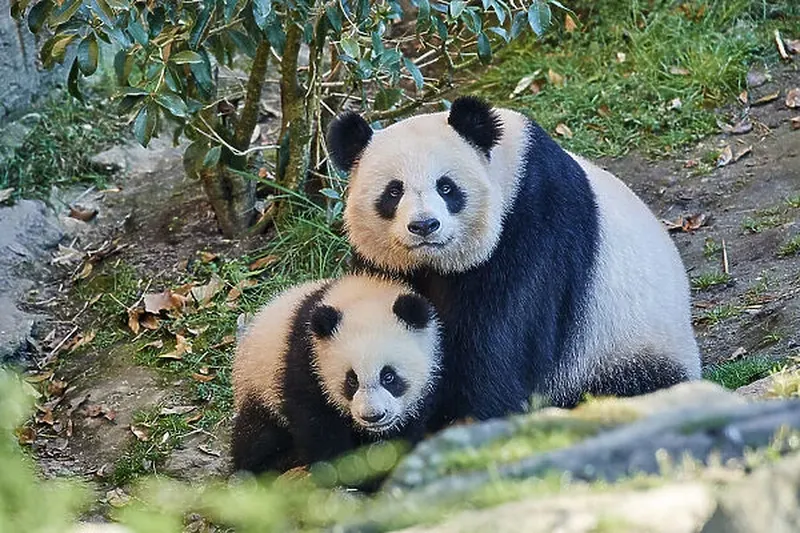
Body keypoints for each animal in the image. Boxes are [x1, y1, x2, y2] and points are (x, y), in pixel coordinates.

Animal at [231, 274, 440, 474]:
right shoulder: (307, 360)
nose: (373, 416)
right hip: (261, 386)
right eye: (351, 381)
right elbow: (317, 424)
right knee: (257, 437)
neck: (365, 296)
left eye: (388, 376)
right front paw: (343, 471)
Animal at [324, 96, 700, 428]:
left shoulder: (533, 226)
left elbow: (498, 344)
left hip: (620, 348)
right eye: (393, 191)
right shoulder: (385, 265)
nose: (424, 225)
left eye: (446, 187)